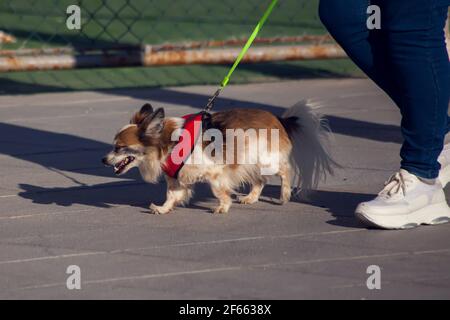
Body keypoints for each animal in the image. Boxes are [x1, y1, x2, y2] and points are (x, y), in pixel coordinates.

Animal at [101, 101, 334, 214]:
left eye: (119, 148)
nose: (103, 160)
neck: (168, 142)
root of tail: (279, 119)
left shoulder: (214, 172)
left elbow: (219, 191)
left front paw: (223, 207)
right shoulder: (177, 178)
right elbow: (172, 195)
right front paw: (163, 209)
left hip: (265, 160)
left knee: (285, 170)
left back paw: (284, 195)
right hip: (249, 159)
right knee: (260, 180)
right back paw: (251, 198)